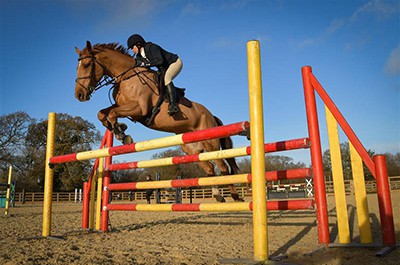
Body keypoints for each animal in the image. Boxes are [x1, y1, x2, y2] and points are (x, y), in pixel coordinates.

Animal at [74, 40, 244, 202]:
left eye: (87, 64)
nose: (79, 95)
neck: (126, 77)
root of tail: (211, 115)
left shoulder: (139, 109)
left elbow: (112, 113)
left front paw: (122, 134)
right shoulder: (122, 105)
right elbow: (102, 114)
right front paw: (120, 128)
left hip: (211, 143)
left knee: (223, 167)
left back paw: (235, 196)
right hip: (191, 149)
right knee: (209, 168)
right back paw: (218, 195)